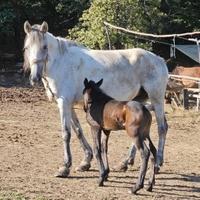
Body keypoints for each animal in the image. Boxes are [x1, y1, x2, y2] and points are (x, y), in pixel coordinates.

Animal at [22, 21, 168, 177]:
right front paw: (85, 161)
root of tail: (159, 60)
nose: (35, 78)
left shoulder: (64, 103)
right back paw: (125, 162)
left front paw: (65, 167)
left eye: (44, 47)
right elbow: (78, 131)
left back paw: (157, 163)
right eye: (27, 47)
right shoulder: (68, 105)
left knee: (162, 128)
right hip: (139, 102)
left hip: (157, 100)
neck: (61, 63)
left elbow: (66, 133)